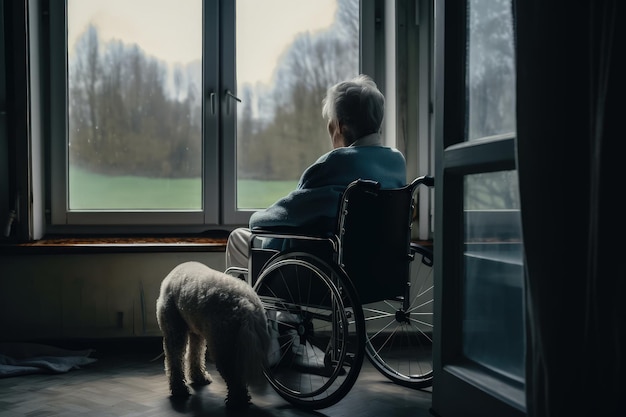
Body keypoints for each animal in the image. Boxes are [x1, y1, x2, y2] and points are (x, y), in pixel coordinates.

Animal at [156, 260, 268, 406]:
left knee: (234, 376)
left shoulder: (175, 331)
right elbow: (196, 355)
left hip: (223, 345)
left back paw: (236, 401)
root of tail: (246, 307)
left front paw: (179, 389)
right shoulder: (197, 333)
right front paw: (198, 377)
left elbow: (175, 362)